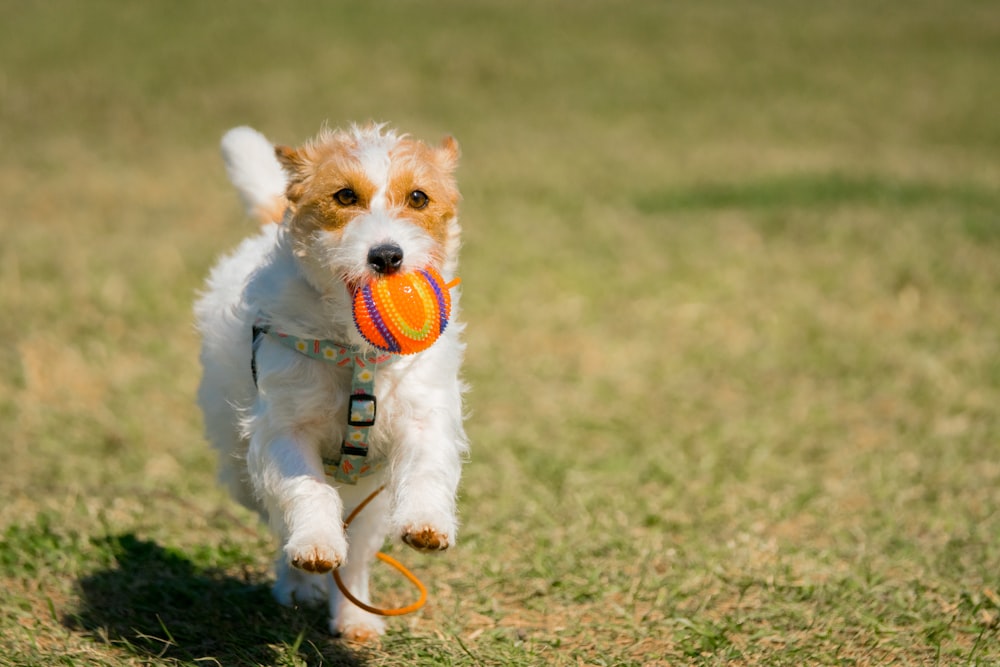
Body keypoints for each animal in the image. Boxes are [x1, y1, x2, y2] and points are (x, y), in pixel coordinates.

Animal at [194, 125, 468, 640]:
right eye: (344, 196)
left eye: (418, 197)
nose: (386, 256)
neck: (356, 353)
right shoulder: (286, 429)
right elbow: (307, 490)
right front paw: (315, 545)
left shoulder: (422, 416)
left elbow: (426, 468)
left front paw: (427, 521)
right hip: (241, 471)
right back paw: (299, 584)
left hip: (371, 495)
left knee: (359, 547)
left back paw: (355, 613)